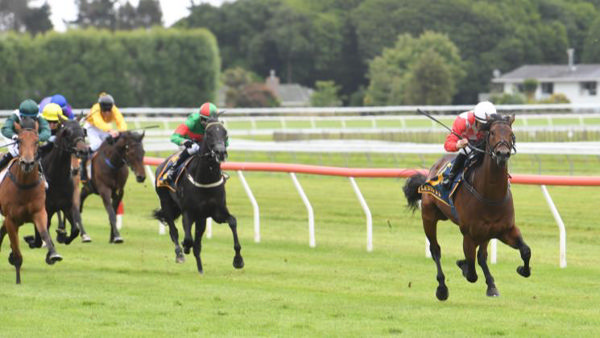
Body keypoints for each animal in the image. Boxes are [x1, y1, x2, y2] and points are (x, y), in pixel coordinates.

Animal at [0, 117, 62, 284]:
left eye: (36, 141)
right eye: (19, 140)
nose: (27, 163)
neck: (24, 185)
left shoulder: (39, 212)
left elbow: (44, 233)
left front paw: (53, 254)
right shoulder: (11, 219)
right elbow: (17, 253)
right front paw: (18, 281)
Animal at [23, 117, 90, 248]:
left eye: (83, 132)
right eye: (67, 133)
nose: (83, 151)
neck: (58, 178)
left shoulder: (66, 205)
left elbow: (75, 230)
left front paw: (64, 237)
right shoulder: (44, 208)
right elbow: (39, 234)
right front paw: (33, 240)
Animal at [154, 117, 245, 274]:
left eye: (225, 133)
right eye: (208, 133)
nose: (221, 152)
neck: (205, 178)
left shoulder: (217, 213)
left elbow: (232, 222)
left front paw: (238, 260)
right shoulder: (188, 212)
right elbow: (188, 239)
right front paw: (185, 247)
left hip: (201, 217)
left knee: (197, 243)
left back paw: (200, 269)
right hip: (166, 202)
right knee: (174, 231)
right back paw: (180, 253)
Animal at [404, 114, 528, 302]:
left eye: (511, 134)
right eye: (492, 133)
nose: (502, 154)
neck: (490, 195)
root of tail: (432, 170)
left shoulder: (504, 230)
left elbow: (525, 251)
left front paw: (522, 270)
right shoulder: (469, 235)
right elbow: (471, 273)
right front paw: (462, 265)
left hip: (484, 233)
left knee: (482, 257)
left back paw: (491, 285)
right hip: (429, 217)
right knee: (435, 250)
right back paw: (442, 288)